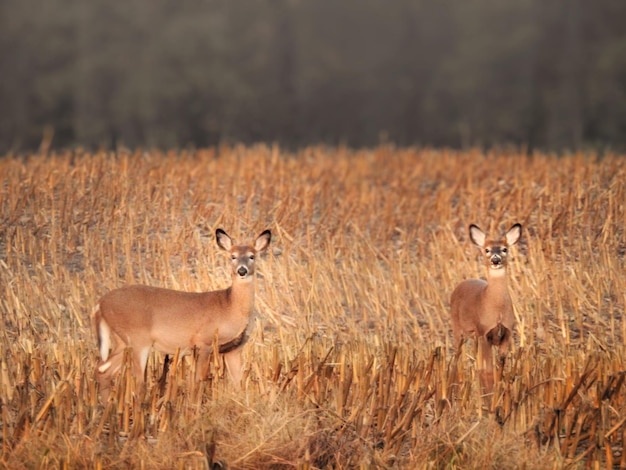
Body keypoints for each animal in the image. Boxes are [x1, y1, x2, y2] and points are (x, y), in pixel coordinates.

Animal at [92, 228, 268, 400]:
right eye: (233, 256)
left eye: (252, 256)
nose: (242, 270)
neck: (229, 307)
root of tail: (100, 303)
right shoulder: (203, 342)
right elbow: (197, 381)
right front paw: (194, 406)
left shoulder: (234, 349)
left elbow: (238, 384)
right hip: (138, 339)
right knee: (138, 382)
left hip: (122, 341)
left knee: (102, 370)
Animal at [448, 222, 520, 392]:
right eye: (487, 250)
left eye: (504, 249)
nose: (495, 260)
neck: (497, 310)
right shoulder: (484, 333)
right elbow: (487, 370)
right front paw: (489, 392)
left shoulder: (507, 333)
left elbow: (499, 367)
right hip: (458, 328)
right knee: (457, 356)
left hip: (474, 338)